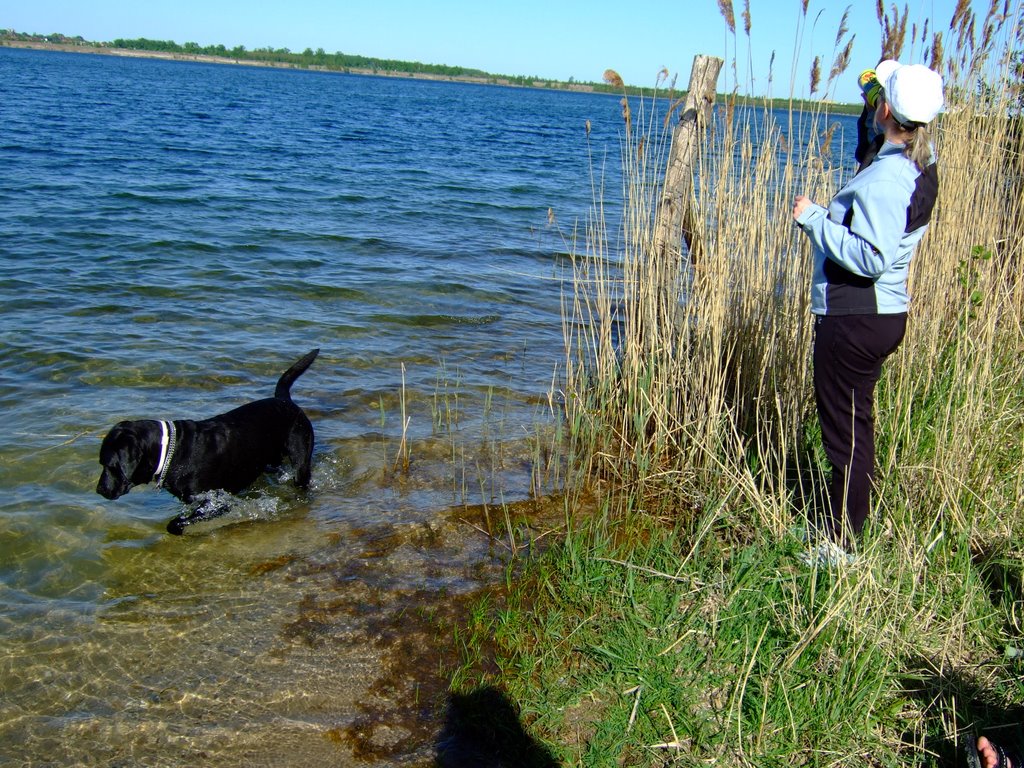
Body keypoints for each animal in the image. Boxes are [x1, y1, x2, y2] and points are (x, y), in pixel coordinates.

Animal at [96, 350, 319, 536]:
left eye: (110, 465)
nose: (99, 490)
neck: (172, 452)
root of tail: (285, 400)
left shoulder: (217, 500)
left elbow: (177, 523)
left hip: (300, 461)